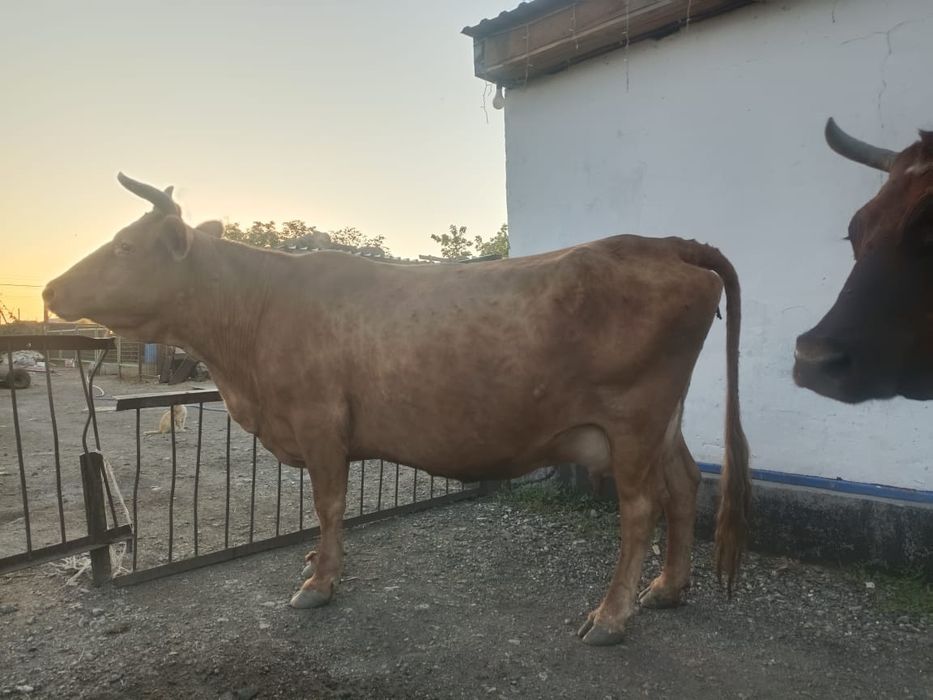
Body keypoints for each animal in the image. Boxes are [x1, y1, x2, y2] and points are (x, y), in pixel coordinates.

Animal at [43, 174, 750, 646]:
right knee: (686, 484)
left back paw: (610, 616)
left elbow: (329, 505)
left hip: (633, 418)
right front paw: (313, 565)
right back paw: (668, 589)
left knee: (641, 508)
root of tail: (663, 243)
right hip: (663, 421)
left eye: (126, 247)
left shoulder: (320, 420)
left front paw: (319, 584)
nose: (50, 288)